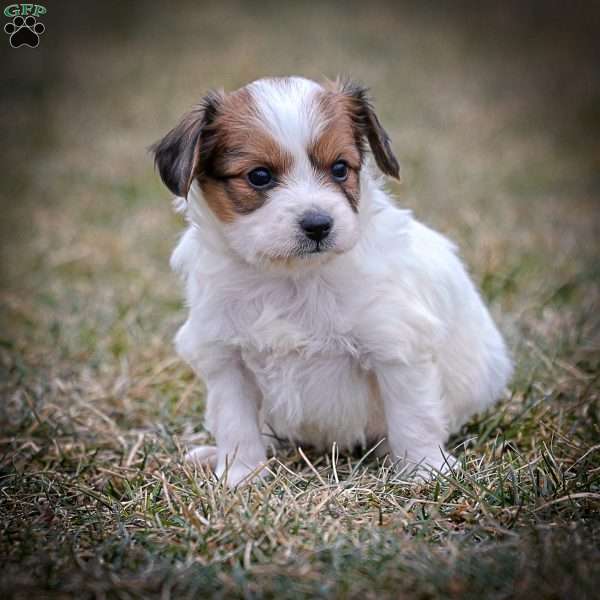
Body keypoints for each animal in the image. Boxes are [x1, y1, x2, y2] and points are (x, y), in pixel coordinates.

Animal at [151, 76, 510, 488]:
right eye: (259, 176)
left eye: (340, 168)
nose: (318, 224)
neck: (291, 277)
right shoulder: (225, 356)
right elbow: (235, 422)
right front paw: (240, 477)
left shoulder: (395, 347)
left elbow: (413, 416)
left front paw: (426, 471)